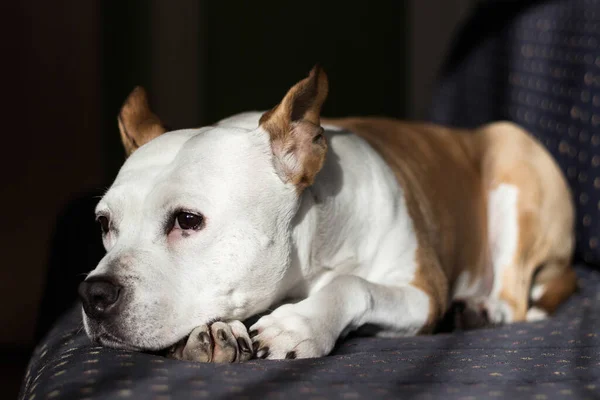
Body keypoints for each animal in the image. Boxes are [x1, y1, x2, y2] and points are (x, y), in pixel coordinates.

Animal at [77, 66, 576, 362]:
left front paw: (300, 324)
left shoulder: (423, 292)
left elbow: (352, 284)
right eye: (104, 224)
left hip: (511, 155)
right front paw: (217, 331)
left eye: (187, 220)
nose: (92, 294)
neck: (315, 248)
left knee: (515, 295)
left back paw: (485, 309)